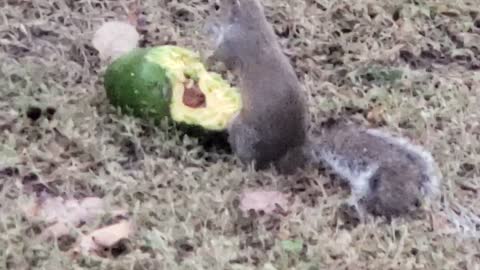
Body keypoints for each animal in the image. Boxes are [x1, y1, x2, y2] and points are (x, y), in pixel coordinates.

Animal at [201, 0, 440, 218]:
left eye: (217, 7)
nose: (206, 23)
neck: (251, 20)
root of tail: (296, 149)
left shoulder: (233, 44)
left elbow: (222, 57)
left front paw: (205, 56)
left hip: (244, 132)